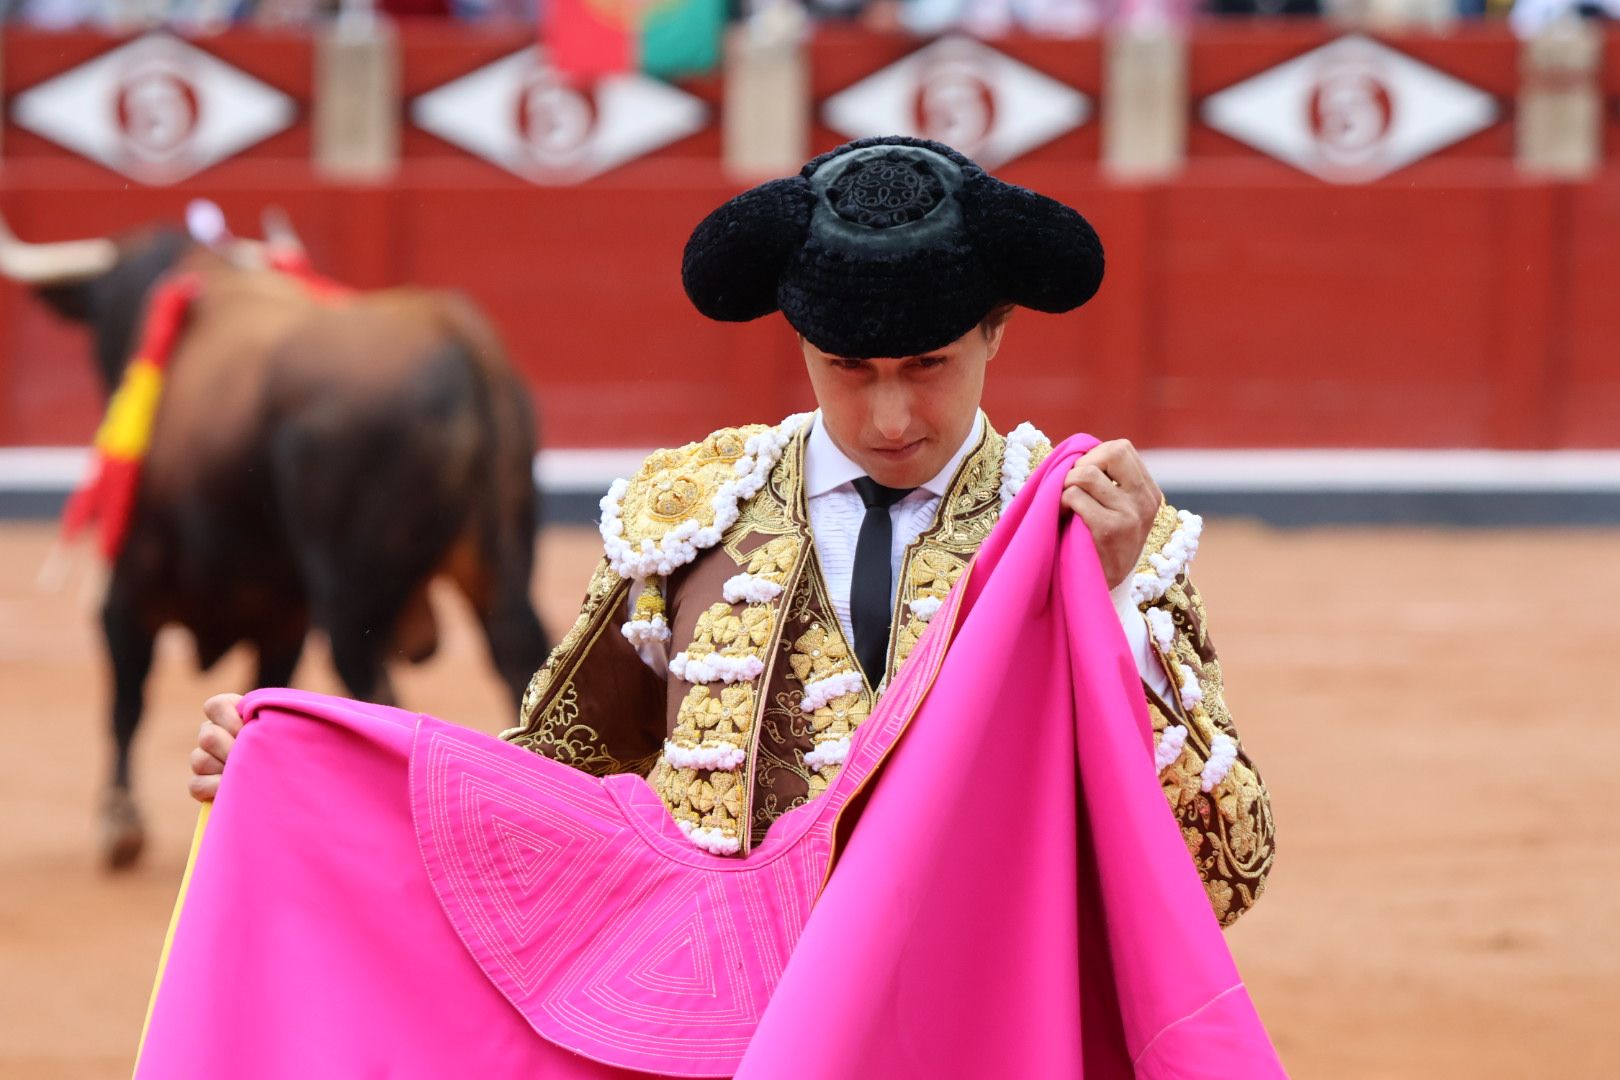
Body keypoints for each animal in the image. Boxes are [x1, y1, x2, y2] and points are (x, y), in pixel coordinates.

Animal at [0, 210, 550, 867]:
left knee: (372, 680)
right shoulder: (283, 617)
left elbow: (125, 698)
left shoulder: (128, 588)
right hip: (498, 558)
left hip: (352, 595)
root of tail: (458, 337)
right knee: (518, 652)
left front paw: (120, 822)